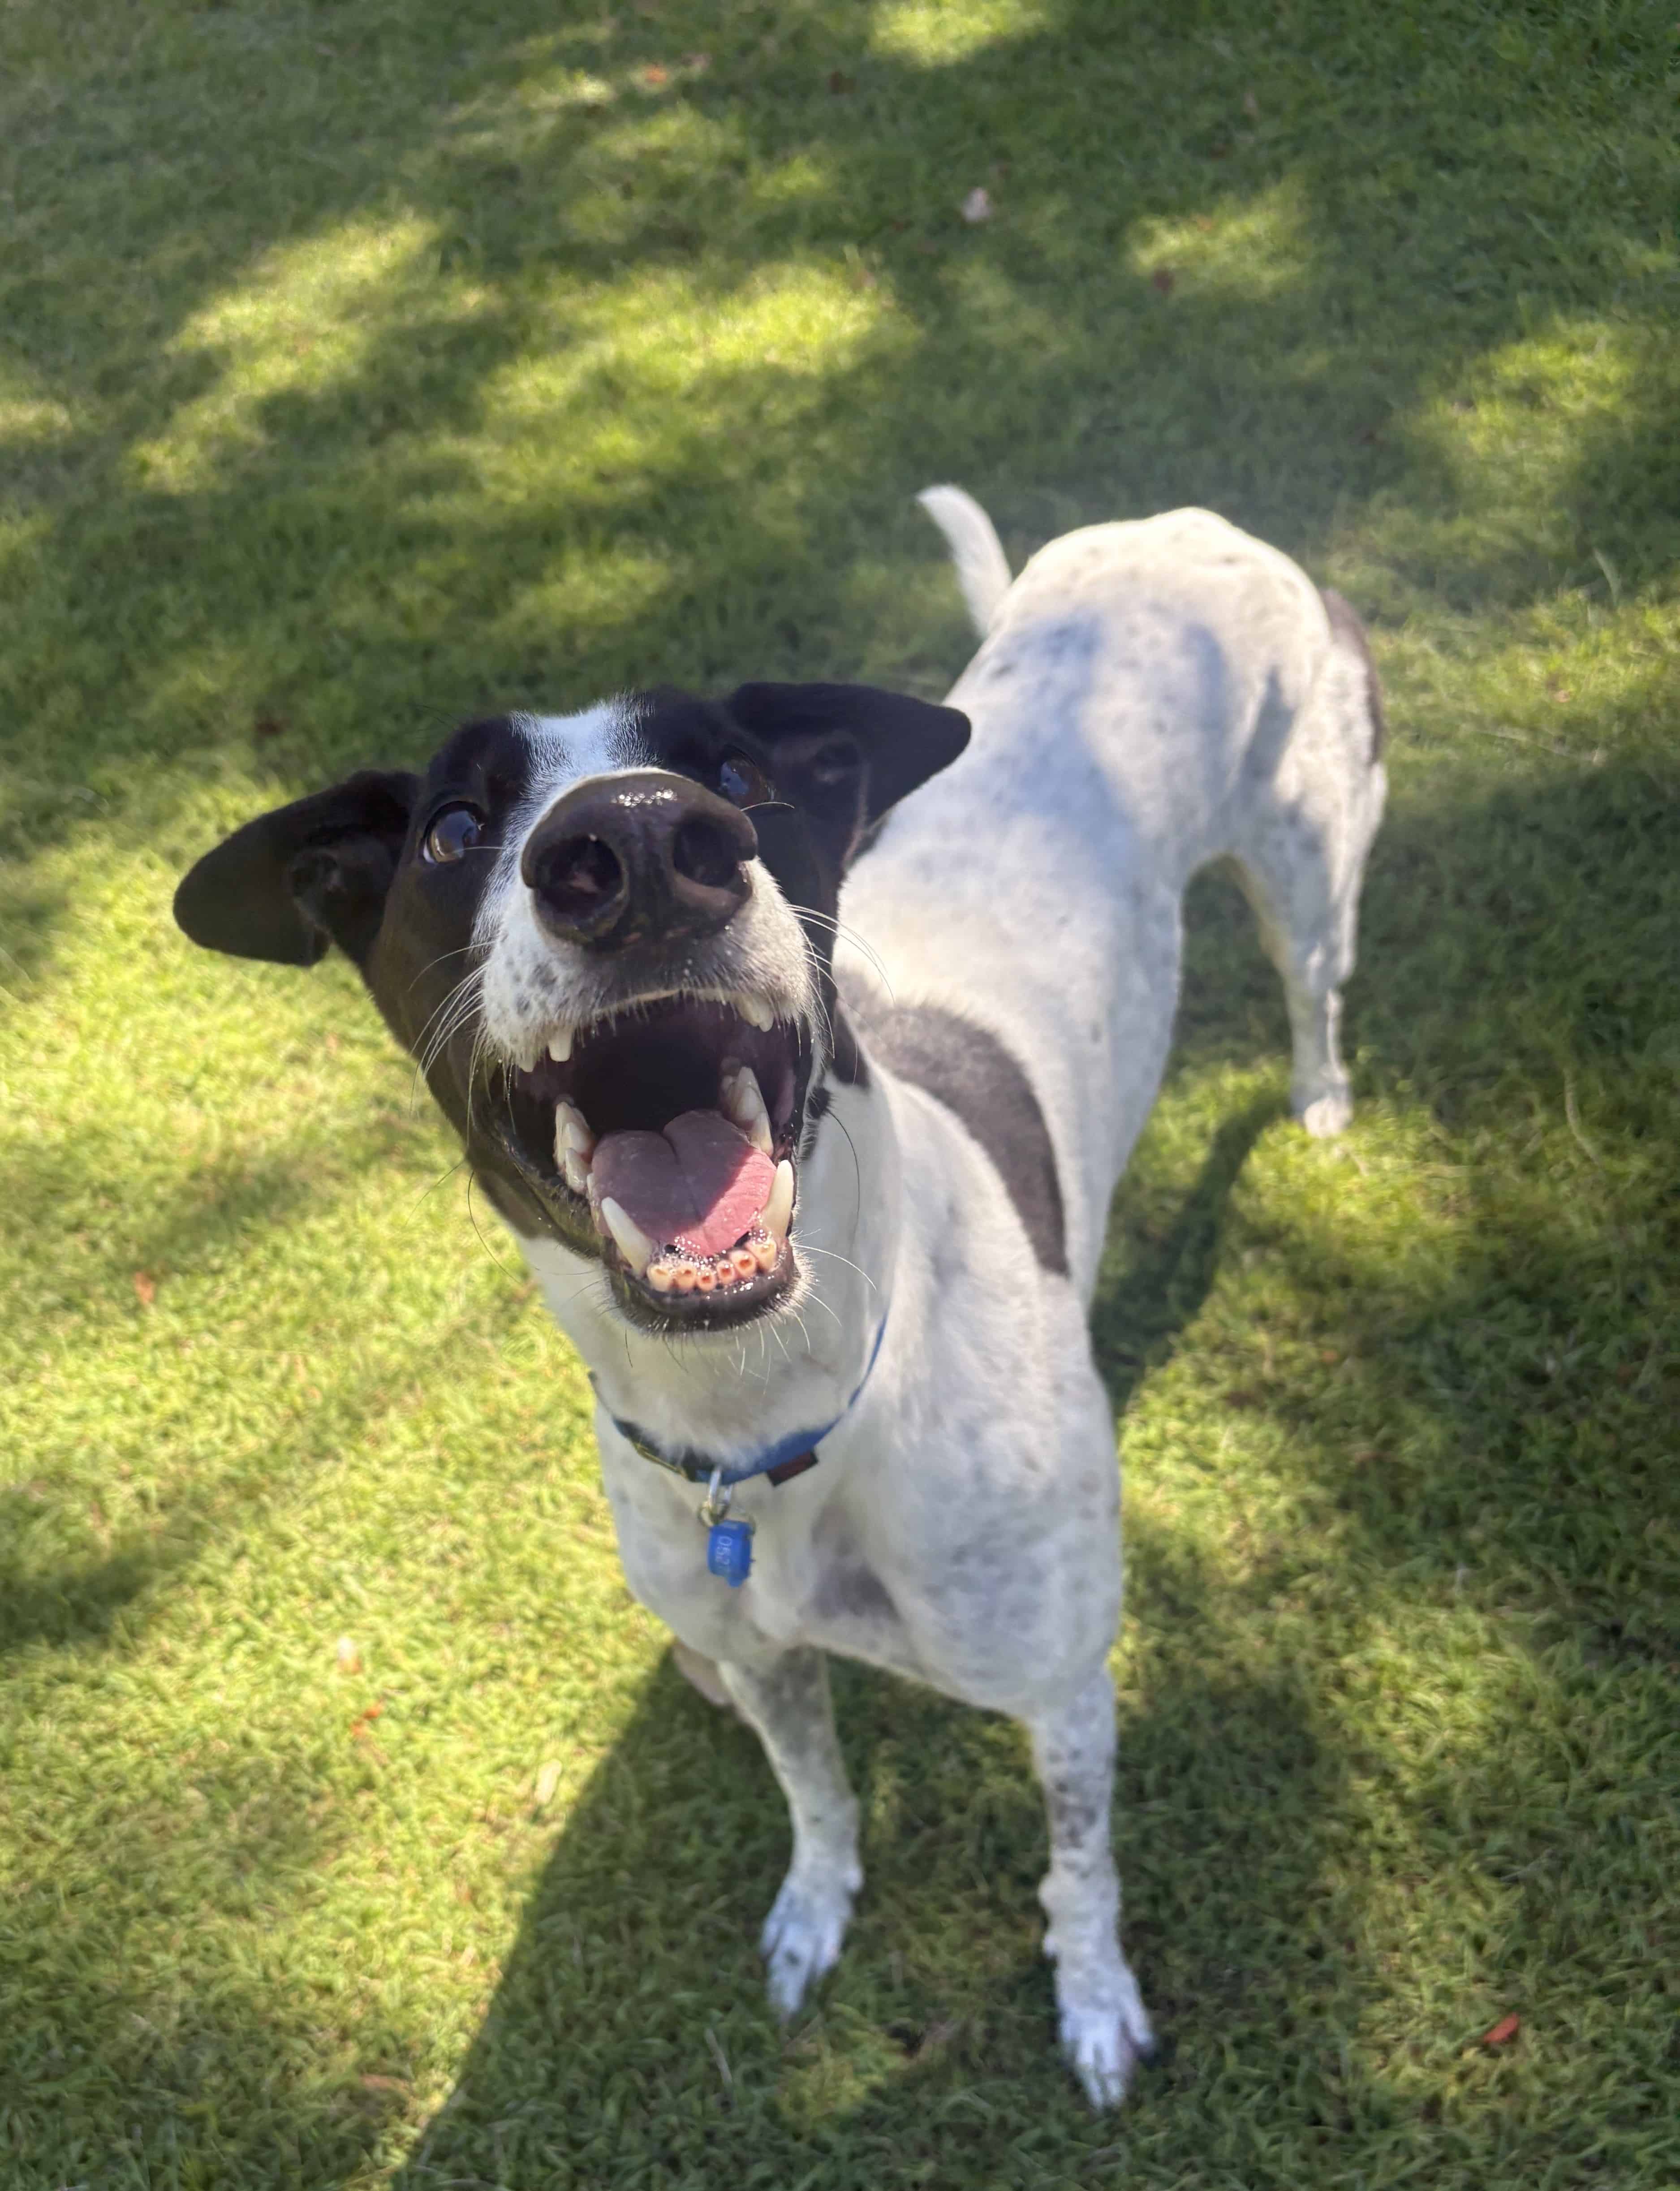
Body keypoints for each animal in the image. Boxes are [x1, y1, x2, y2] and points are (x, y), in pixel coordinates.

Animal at [174, 487, 1385, 2105]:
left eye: (738, 776)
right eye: (451, 828)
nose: (636, 842)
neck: (783, 1412)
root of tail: (1175, 518)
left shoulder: (1064, 1684)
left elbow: (1076, 1870)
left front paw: (1092, 1999)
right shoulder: (755, 1656)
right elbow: (816, 1793)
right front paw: (817, 1912)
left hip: (1307, 873)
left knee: (1315, 990)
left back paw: (1319, 1098)